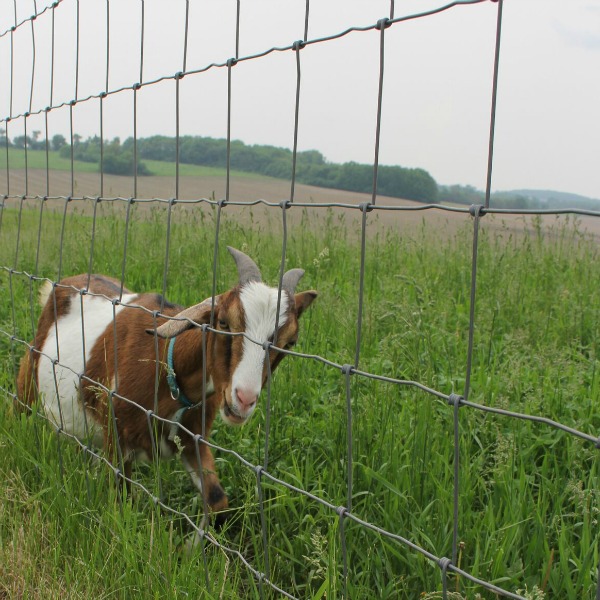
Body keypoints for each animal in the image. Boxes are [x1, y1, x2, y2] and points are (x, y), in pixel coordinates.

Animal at [16, 246, 316, 524]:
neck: (166, 367)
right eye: (223, 322)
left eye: (289, 343)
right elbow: (121, 498)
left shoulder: (192, 437)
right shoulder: (116, 437)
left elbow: (217, 500)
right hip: (27, 380)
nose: (244, 399)